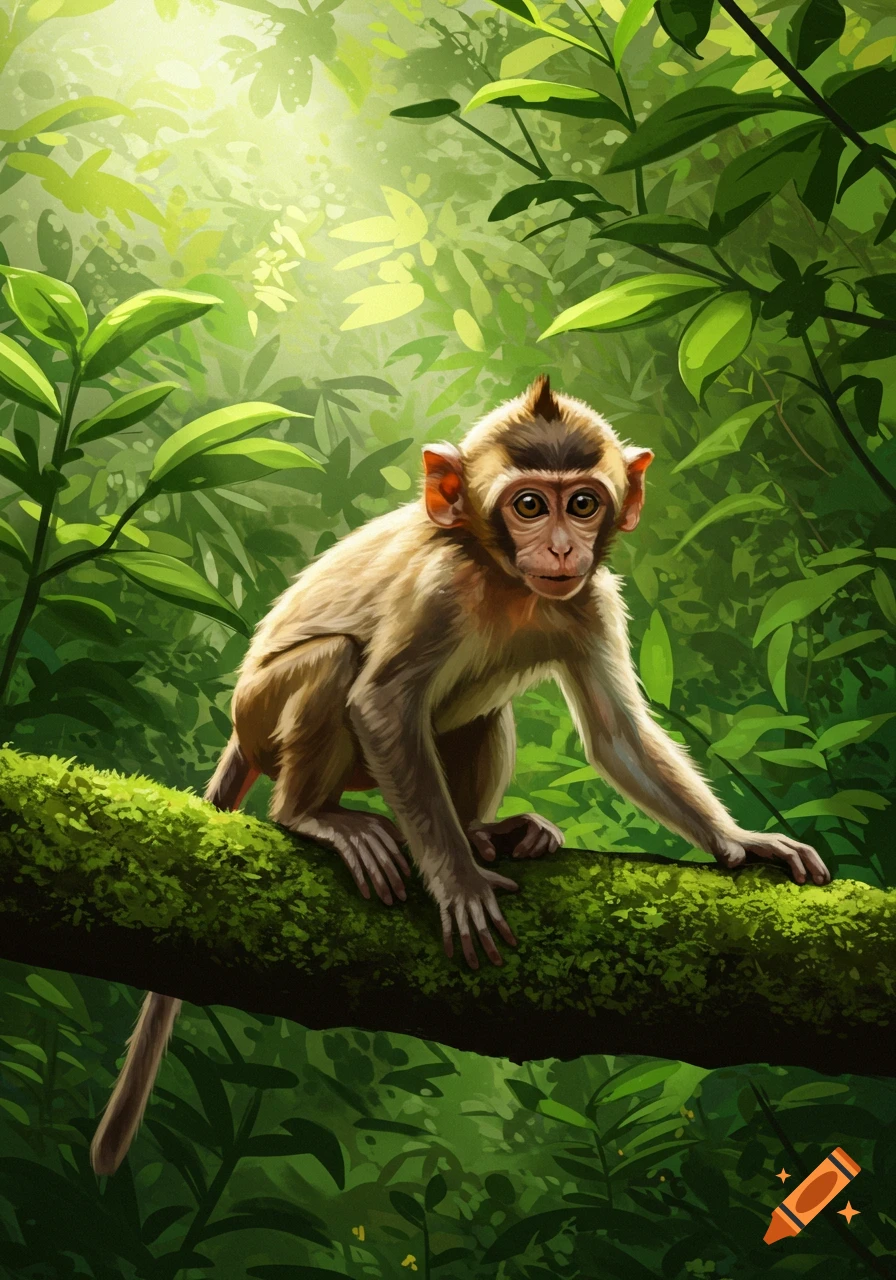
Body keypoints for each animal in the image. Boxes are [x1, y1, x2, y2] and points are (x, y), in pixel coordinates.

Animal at [89, 375, 830, 1175]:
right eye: (529, 505)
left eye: (583, 503)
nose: (563, 546)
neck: (504, 580)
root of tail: (238, 725)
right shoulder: (437, 589)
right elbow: (380, 704)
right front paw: (459, 886)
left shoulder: (592, 598)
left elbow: (617, 737)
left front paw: (740, 842)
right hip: (264, 710)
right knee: (337, 663)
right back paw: (317, 816)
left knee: (482, 712)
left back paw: (486, 833)